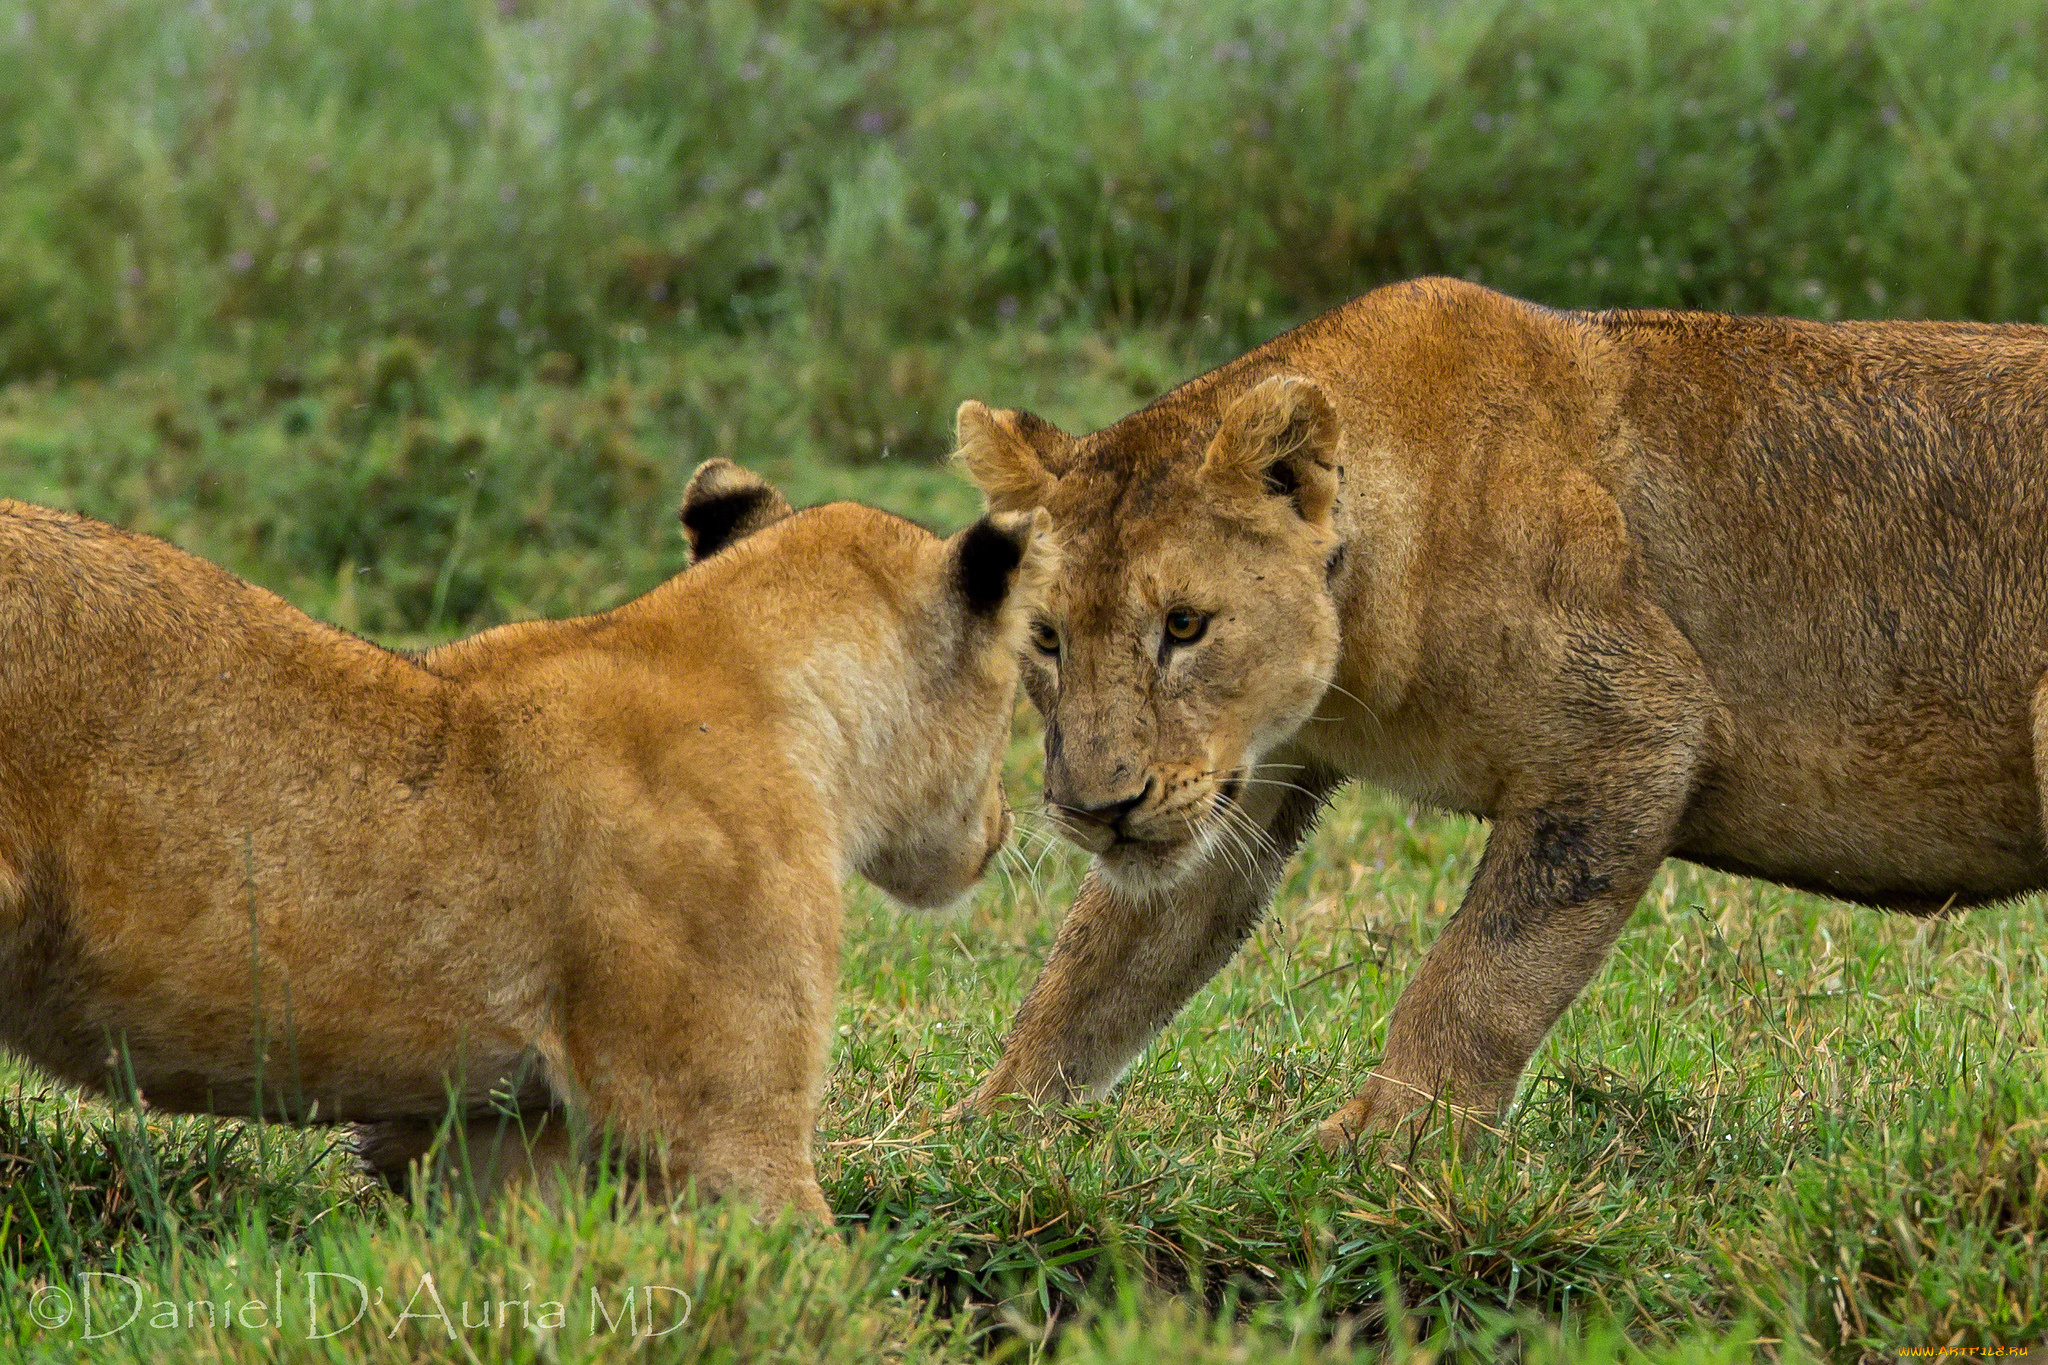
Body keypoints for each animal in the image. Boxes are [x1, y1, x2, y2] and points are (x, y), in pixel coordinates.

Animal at [950, 274, 2048, 1154]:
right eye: (1044, 637)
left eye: (1184, 625)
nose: (1095, 810)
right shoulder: (1238, 780)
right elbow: (1099, 969)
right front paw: (970, 1135)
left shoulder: (1636, 724)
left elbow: (1478, 972)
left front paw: (1382, 1147)